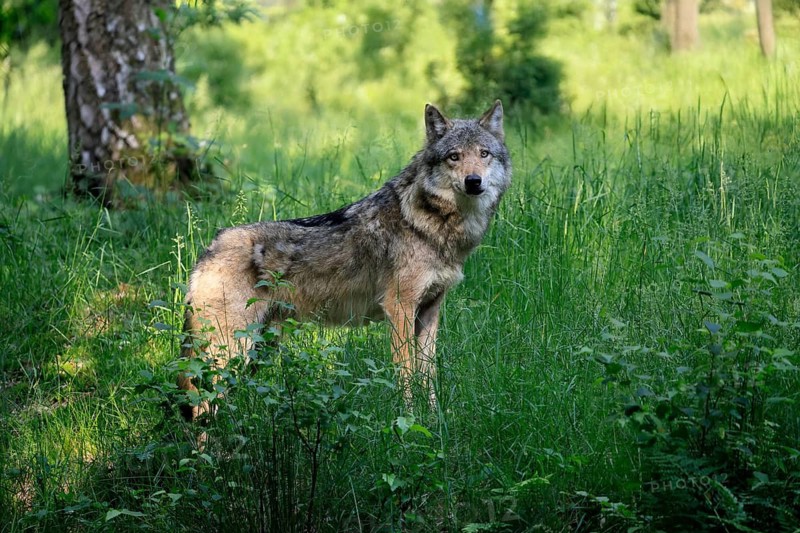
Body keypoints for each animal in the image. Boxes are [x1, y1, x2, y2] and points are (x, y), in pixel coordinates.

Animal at [177, 100, 511, 420]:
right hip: (231, 350)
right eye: (454, 156)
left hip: (256, 350)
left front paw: (434, 419)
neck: (430, 223)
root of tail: (209, 248)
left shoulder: (429, 311)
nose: (473, 181)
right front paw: (410, 420)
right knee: (200, 404)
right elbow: (405, 374)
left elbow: (428, 374)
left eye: (483, 154)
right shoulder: (399, 309)